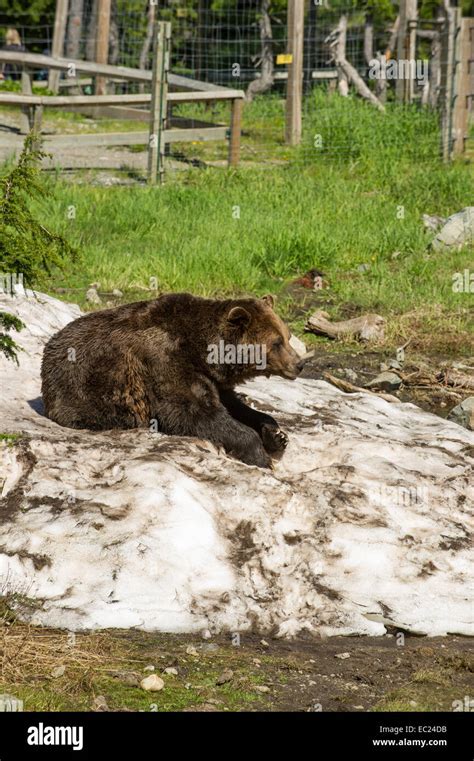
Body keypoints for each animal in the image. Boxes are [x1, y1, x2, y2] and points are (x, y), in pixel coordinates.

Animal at [39, 292, 300, 466]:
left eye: (287, 336)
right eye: (276, 342)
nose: (299, 363)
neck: (203, 351)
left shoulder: (213, 378)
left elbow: (233, 404)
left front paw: (276, 435)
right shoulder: (165, 361)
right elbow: (191, 412)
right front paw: (260, 455)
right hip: (84, 393)